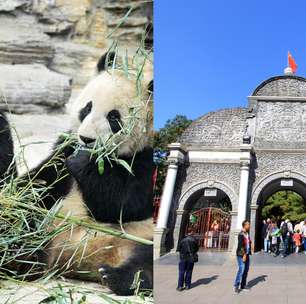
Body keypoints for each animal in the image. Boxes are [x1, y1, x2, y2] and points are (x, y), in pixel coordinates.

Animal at [24, 52, 153, 294]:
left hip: (141, 235)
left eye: (114, 117)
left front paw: (84, 162)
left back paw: (120, 277)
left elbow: (125, 204)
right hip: (49, 228)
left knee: (147, 259)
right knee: (31, 227)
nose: (86, 139)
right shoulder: (64, 148)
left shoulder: (147, 158)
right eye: (87, 108)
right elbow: (40, 182)